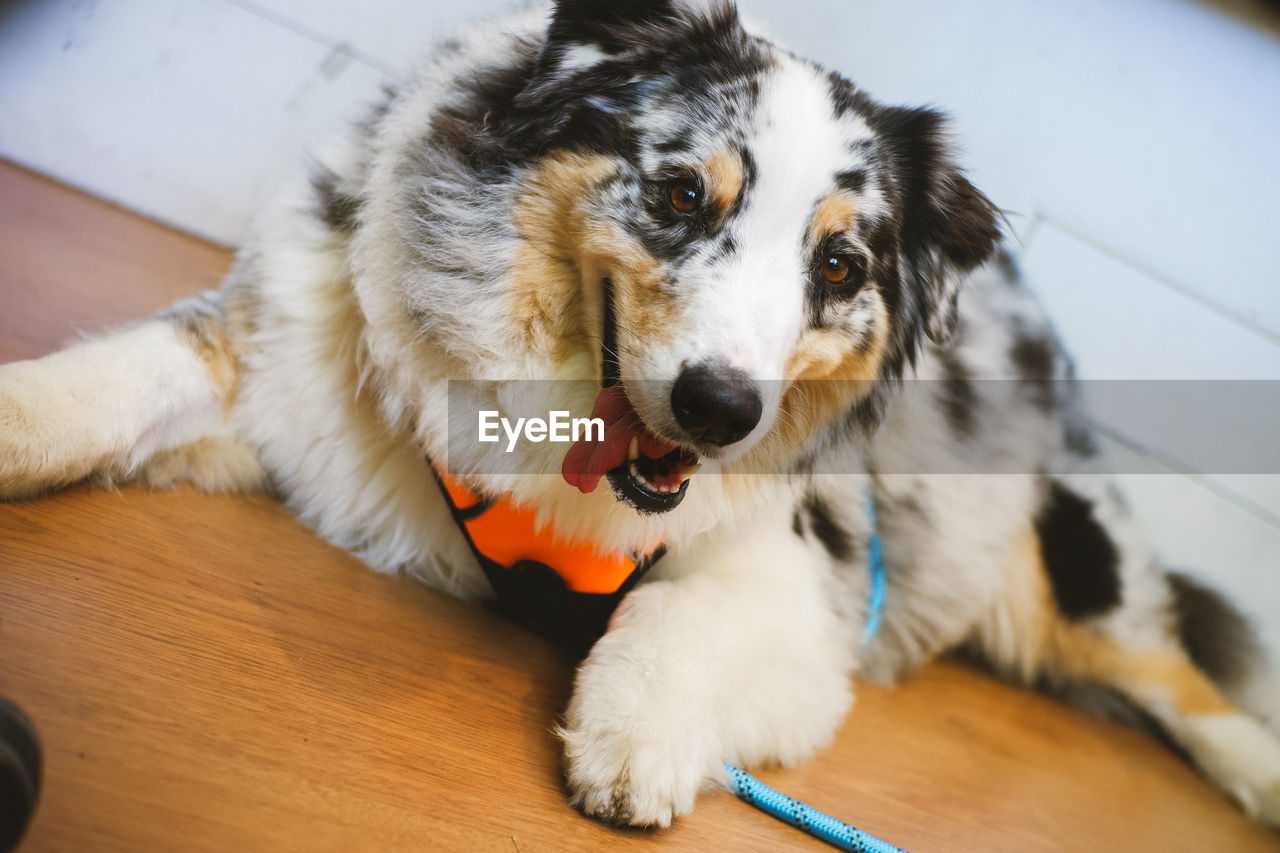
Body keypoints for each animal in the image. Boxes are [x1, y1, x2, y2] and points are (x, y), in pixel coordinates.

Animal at [2, 0, 1280, 829]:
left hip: (1055, 571)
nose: (719, 408)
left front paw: (637, 741)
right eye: (677, 195)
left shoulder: (802, 575)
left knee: (1181, 678)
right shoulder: (282, 355)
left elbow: (670, 618)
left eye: (837, 266)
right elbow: (102, 381)